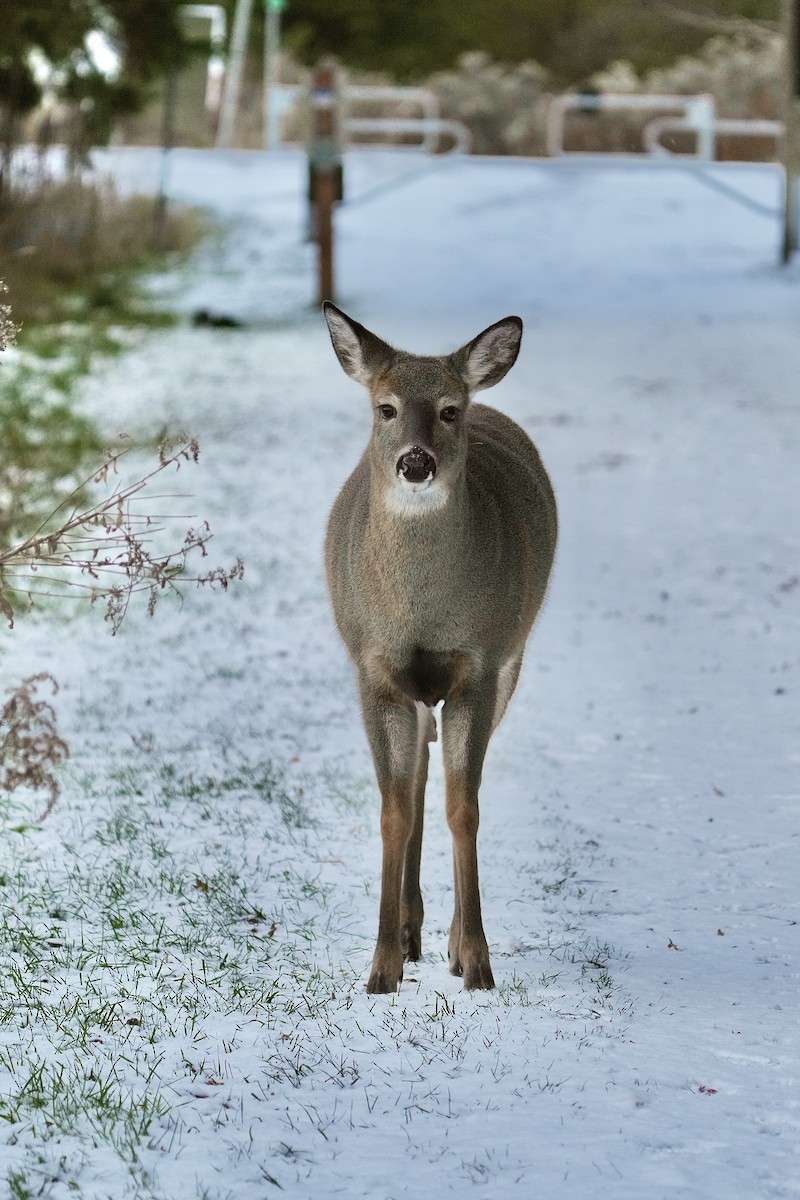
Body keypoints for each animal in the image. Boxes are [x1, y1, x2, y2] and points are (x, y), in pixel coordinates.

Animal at [323, 304, 557, 994]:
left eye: (450, 410)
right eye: (386, 407)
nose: (415, 463)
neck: (421, 615)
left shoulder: (478, 666)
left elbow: (465, 809)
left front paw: (476, 959)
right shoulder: (373, 671)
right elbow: (393, 812)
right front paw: (380, 967)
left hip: (512, 658)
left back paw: (442, 938)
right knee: (419, 776)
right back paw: (407, 929)